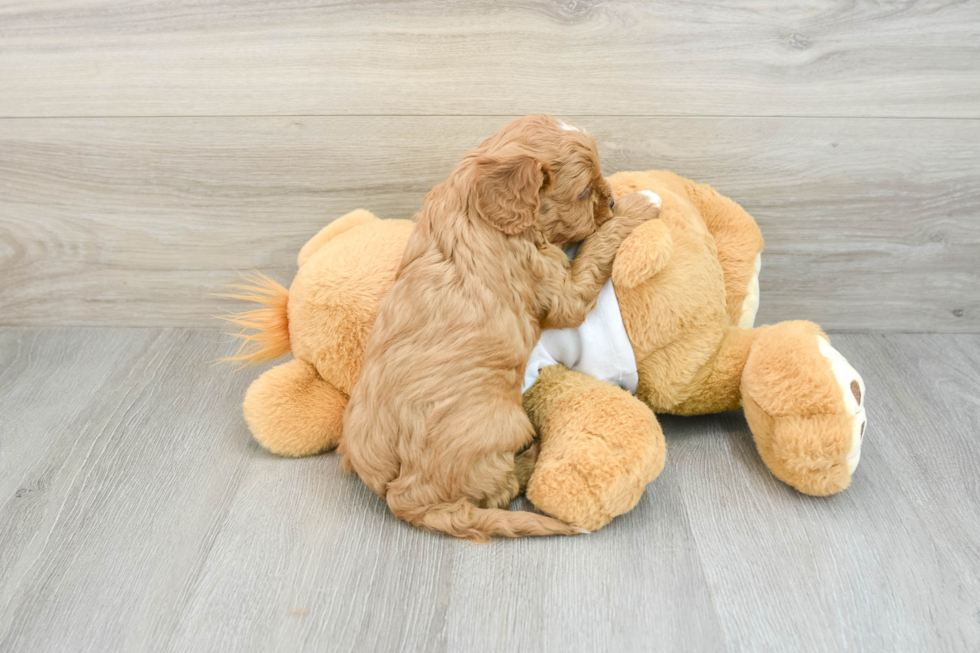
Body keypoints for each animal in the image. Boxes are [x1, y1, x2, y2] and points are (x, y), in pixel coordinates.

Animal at [340, 113, 664, 540]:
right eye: (581, 193)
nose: (609, 200)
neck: (475, 208)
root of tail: (407, 499)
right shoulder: (559, 288)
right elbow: (594, 250)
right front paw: (639, 205)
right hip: (505, 428)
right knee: (504, 489)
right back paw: (534, 456)